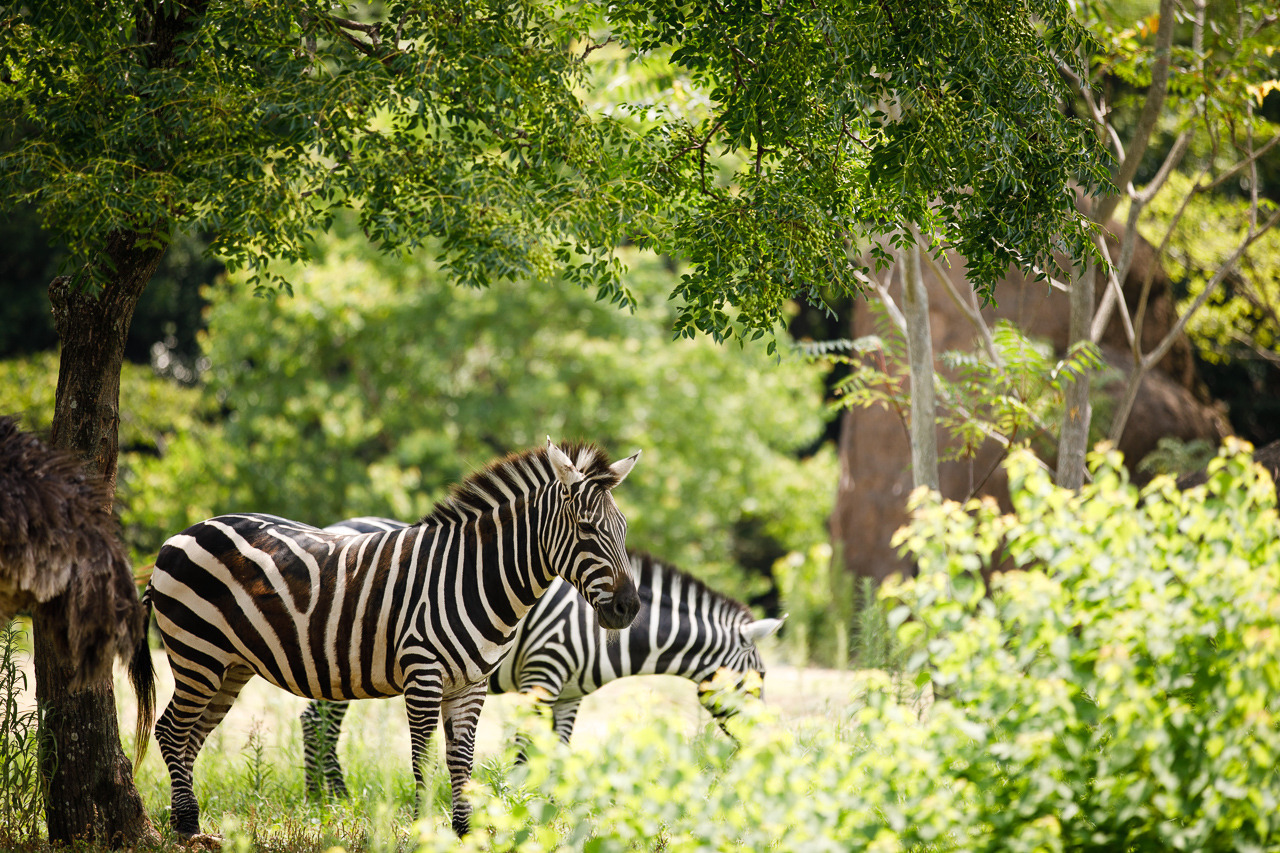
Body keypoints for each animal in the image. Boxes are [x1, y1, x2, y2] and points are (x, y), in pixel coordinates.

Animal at [129, 435, 640, 835]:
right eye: (586, 529)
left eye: (624, 529)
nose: (629, 608)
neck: (475, 577)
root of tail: (179, 535)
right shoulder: (423, 675)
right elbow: (423, 757)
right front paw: (423, 829)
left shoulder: (471, 685)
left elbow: (462, 760)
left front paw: (463, 833)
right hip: (197, 651)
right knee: (172, 729)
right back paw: (188, 825)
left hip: (231, 664)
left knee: (191, 736)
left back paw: (183, 821)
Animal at [300, 512, 783, 799]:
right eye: (757, 681)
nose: (768, 748)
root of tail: (340, 524)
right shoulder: (543, 675)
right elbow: (524, 750)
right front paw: (516, 802)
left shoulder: (570, 694)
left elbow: (560, 751)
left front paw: (552, 803)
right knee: (318, 721)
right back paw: (330, 797)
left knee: (315, 719)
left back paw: (325, 797)